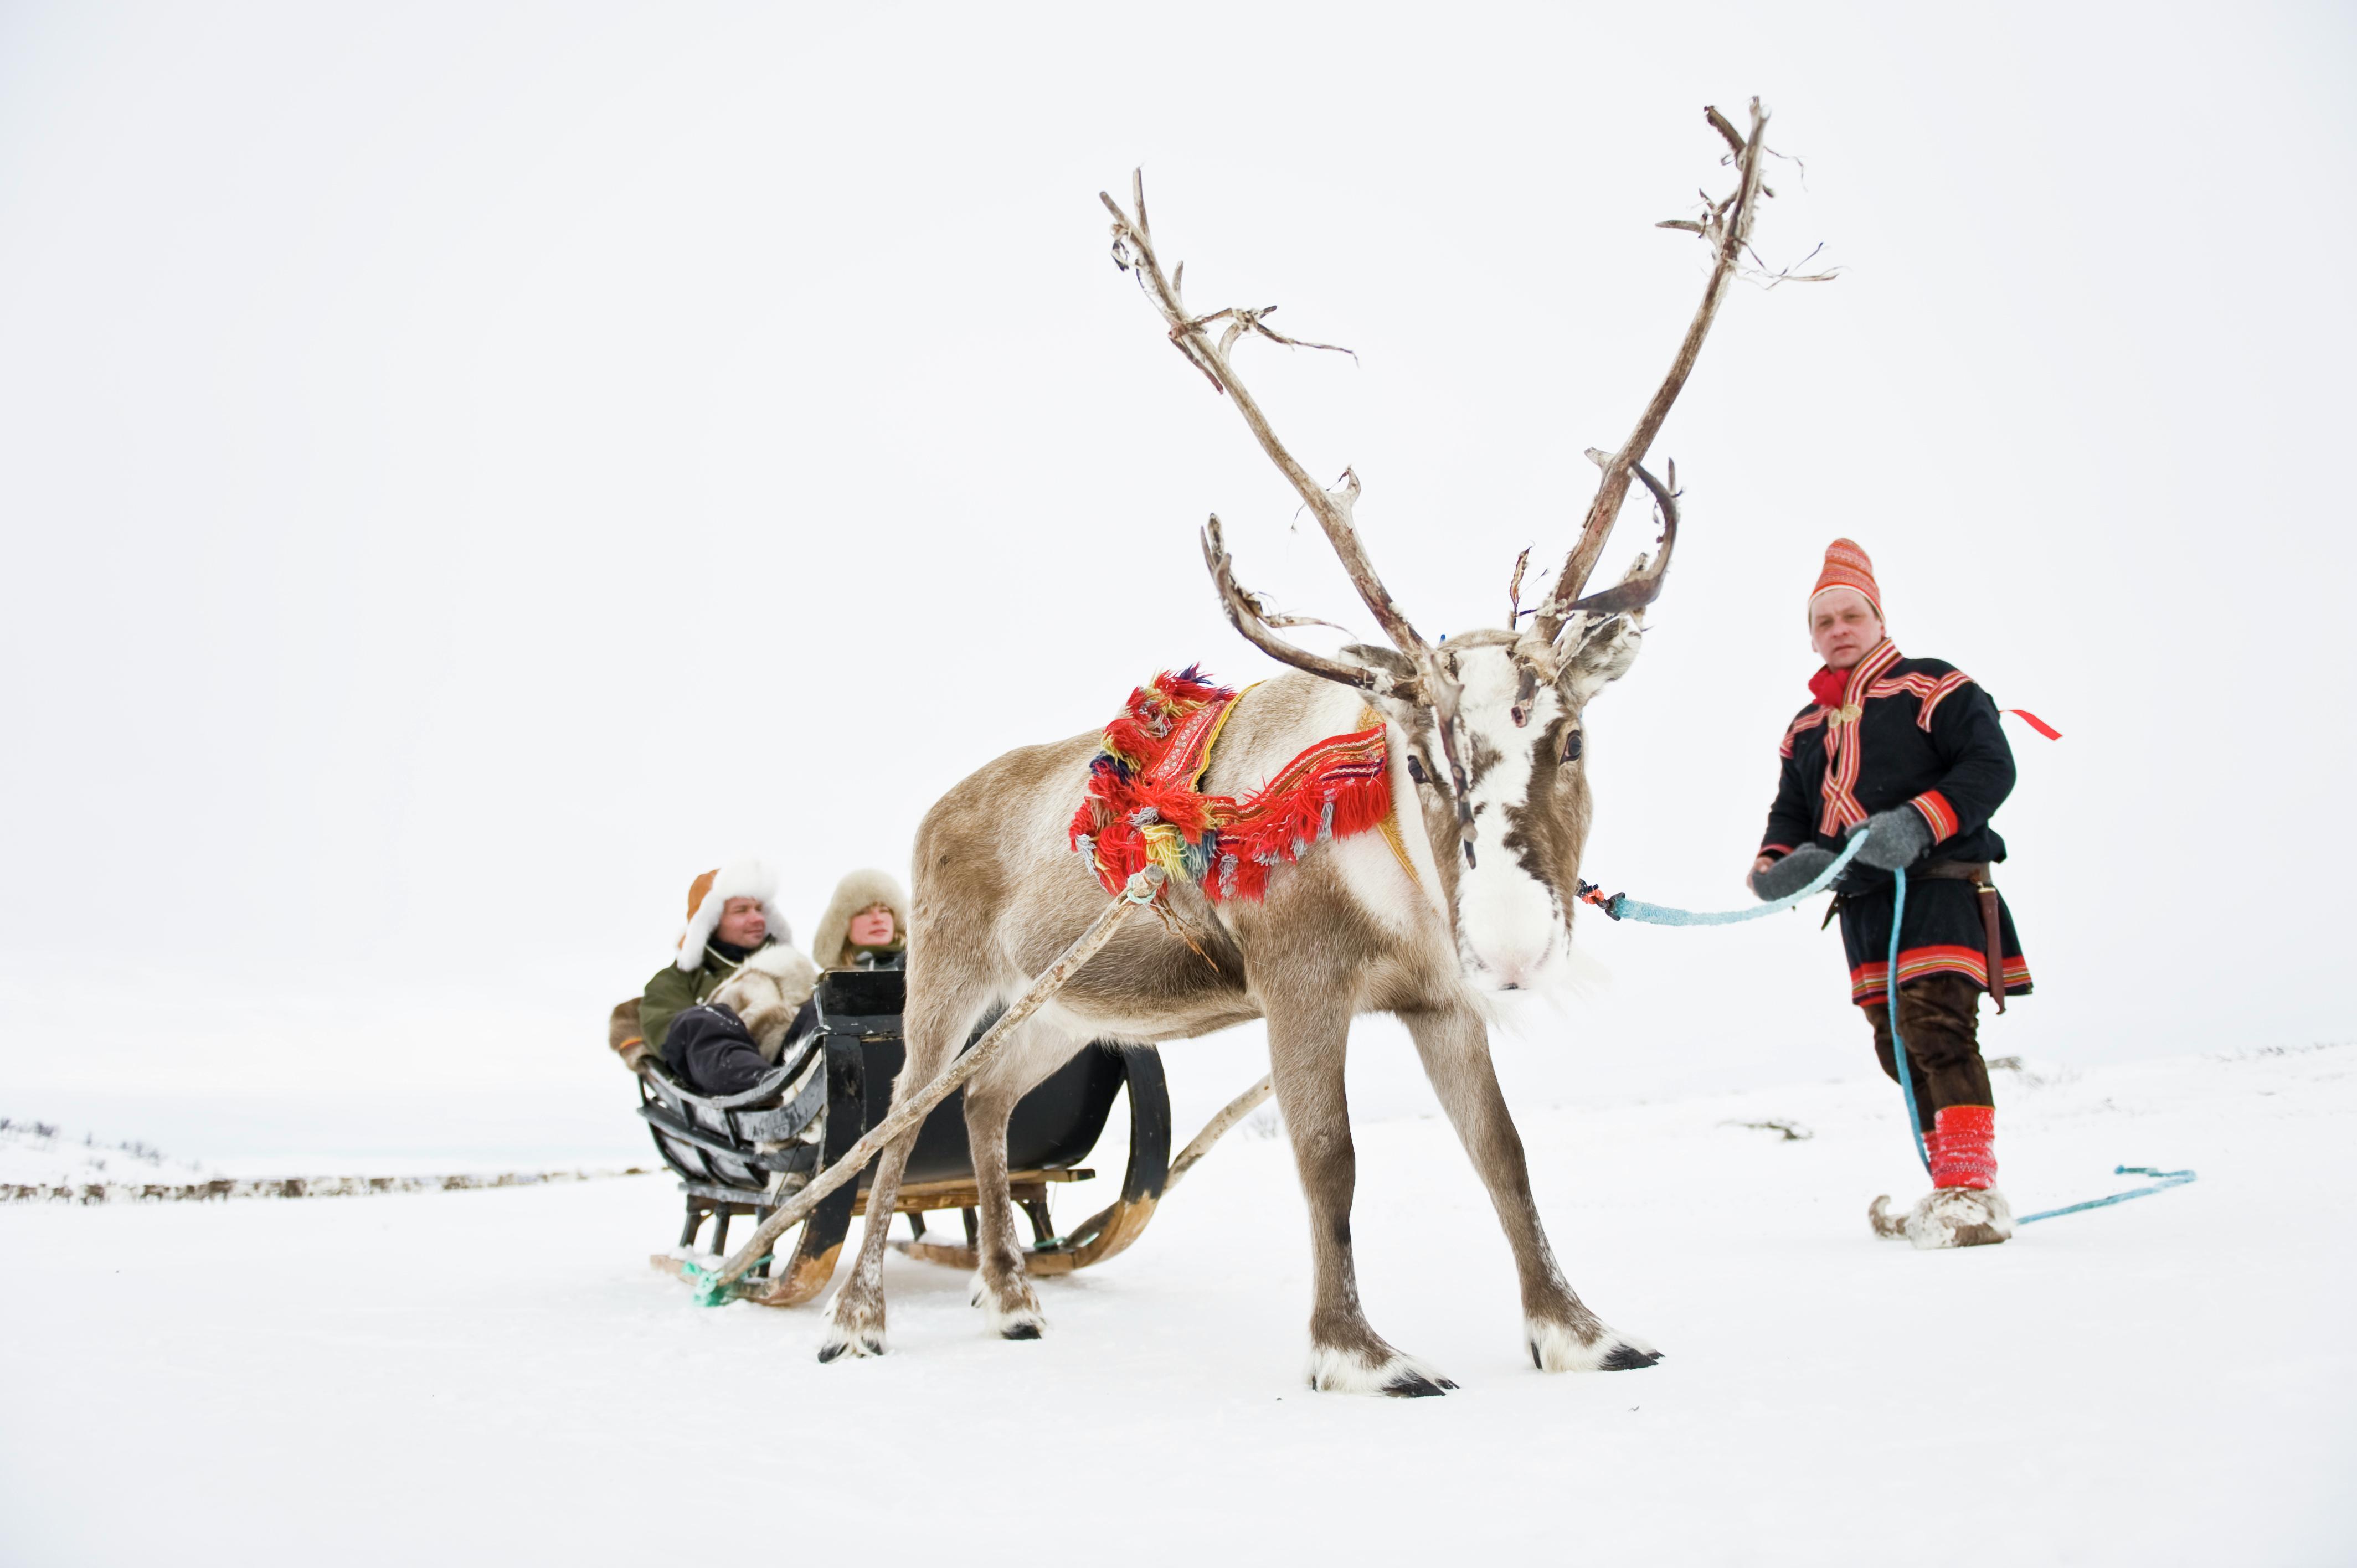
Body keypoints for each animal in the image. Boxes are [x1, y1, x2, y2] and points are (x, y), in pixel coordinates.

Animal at [821, 101, 1796, 1394]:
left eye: (1573, 735)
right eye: (1421, 758)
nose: (1515, 945)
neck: (1395, 879)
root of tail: (938, 803)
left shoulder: (1438, 1000)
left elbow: (1504, 1154)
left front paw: (1580, 1332)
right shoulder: (1299, 983)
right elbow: (1327, 1157)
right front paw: (1359, 1354)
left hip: (1066, 1007)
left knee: (983, 1101)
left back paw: (1010, 1295)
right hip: (947, 972)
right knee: (897, 1124)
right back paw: (858, 1319)